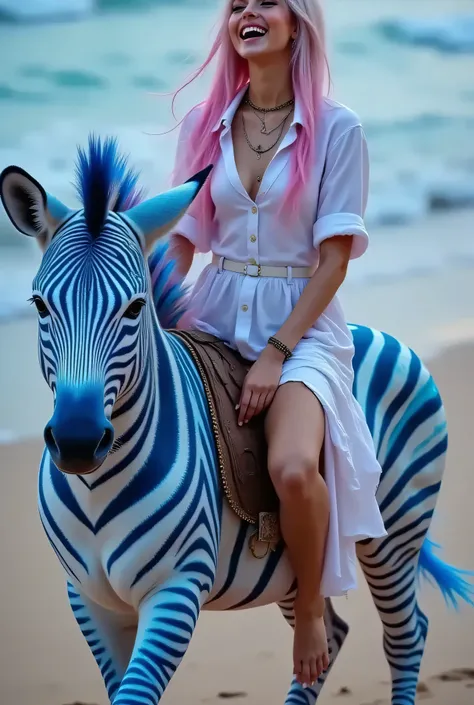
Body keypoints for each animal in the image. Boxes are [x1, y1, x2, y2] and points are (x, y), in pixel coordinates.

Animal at [0, 138, 472, 704]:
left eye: (135, 307)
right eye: (38, 304)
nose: (75, 442)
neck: (96, 488)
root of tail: (383, 336)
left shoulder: (175, 590)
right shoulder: (89, 600)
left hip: (395, 533)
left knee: (406, 635)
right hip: (290, 571)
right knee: (328, 634)